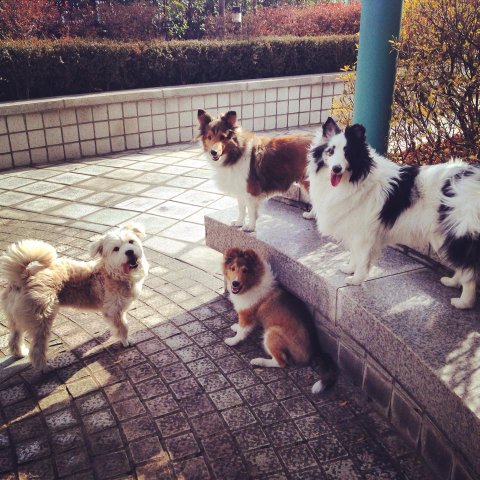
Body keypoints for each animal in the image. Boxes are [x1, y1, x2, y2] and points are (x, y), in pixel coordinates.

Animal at [0, 224, 149, 371]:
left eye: (131, 241)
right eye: (116, 249)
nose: (129, 252)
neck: (112, 273)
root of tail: (24, 276)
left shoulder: (115, 311)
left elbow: (116, 326)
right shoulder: (114, 310)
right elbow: (123, 327)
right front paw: (126, 341)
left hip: (16, 318)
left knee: (14, 338)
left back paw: (19, 353)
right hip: (41, 321)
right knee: (36, 350)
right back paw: (45, 368)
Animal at [223, 248, 337, 393]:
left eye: (245, 270)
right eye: (232, 268)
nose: (235, 283)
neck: (252, 283)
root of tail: (315, 351)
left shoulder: (246, 315)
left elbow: (242, 331)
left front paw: (232, 341)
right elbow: (241, 327)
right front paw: (235, 327)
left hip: (272, 333)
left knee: (281, 363)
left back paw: (258, 361)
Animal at [308, 117, 480, 309]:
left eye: (348, 154)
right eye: (330, 151)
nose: (336, 169)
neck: (355, 180)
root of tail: (471, 177)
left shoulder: (363, 235)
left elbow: (362, 259)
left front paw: (356, 279)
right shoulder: (355, 231)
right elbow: (355, 255)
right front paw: (350, 268)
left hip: (458, 232)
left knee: (469, 271)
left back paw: (464, 302)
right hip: (442, 236)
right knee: (463, 267)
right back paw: (452, 282)